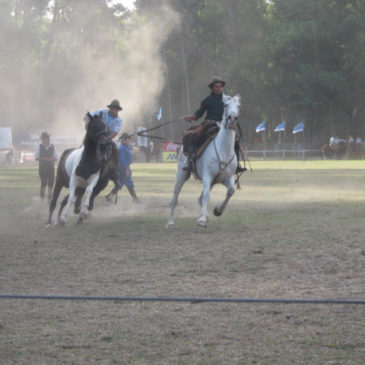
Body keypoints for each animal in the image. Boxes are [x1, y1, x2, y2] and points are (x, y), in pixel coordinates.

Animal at [166, 94, 240, 228]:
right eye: (225, 105)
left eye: (238, 106)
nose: (232, 119)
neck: (223, 150)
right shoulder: (207, 176)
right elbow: (206, 196)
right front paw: (201, 220)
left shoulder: (227, 177)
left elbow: (231, 191)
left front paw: (218, 211)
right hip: (181, 174)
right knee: (174, 198)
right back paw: (170, 222)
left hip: (212, 182)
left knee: (199, 199)